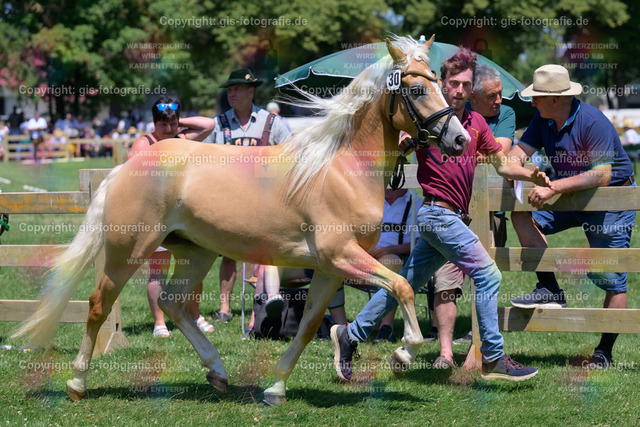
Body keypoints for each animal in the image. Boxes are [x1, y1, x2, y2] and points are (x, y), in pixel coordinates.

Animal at [13, 35, 469, 405]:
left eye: (439, 80)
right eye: (416, 88)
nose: (460, 139)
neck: (339, 167)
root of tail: (126, 166)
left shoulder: (330, 268)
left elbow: (308, 326)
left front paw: (276, 388)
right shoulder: (342, 256)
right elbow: (402, 287)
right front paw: (403, 353)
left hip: (195, 253)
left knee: (174, 303)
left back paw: (217, 373)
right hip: (129, 252)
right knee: (99, 305)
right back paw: (77, 383)